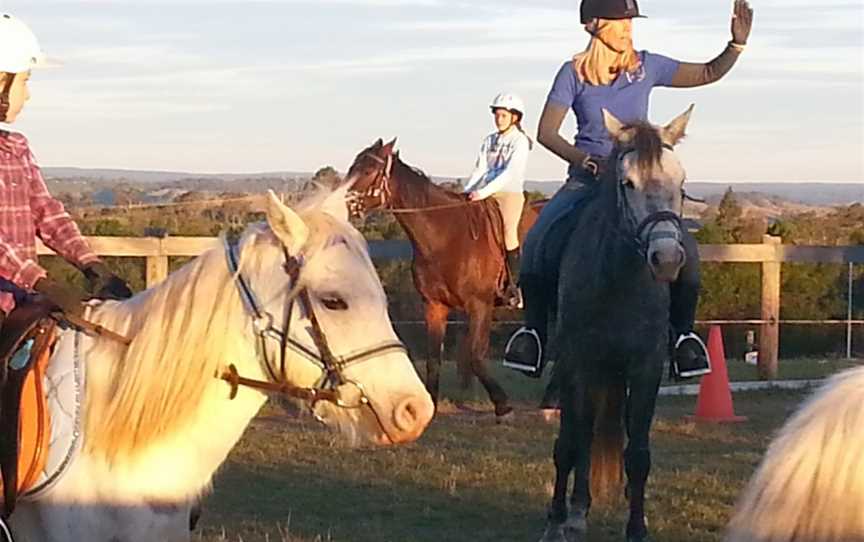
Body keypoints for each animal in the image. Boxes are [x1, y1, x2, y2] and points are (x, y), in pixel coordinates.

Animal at [342, 139, 532, 420]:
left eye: (367, 171)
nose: (339, 202)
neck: (447, 236)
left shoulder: (480, 306)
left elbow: (475, 357)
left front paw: (503, 406)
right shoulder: (435, 306)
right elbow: (434, 358)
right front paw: (429, 405)